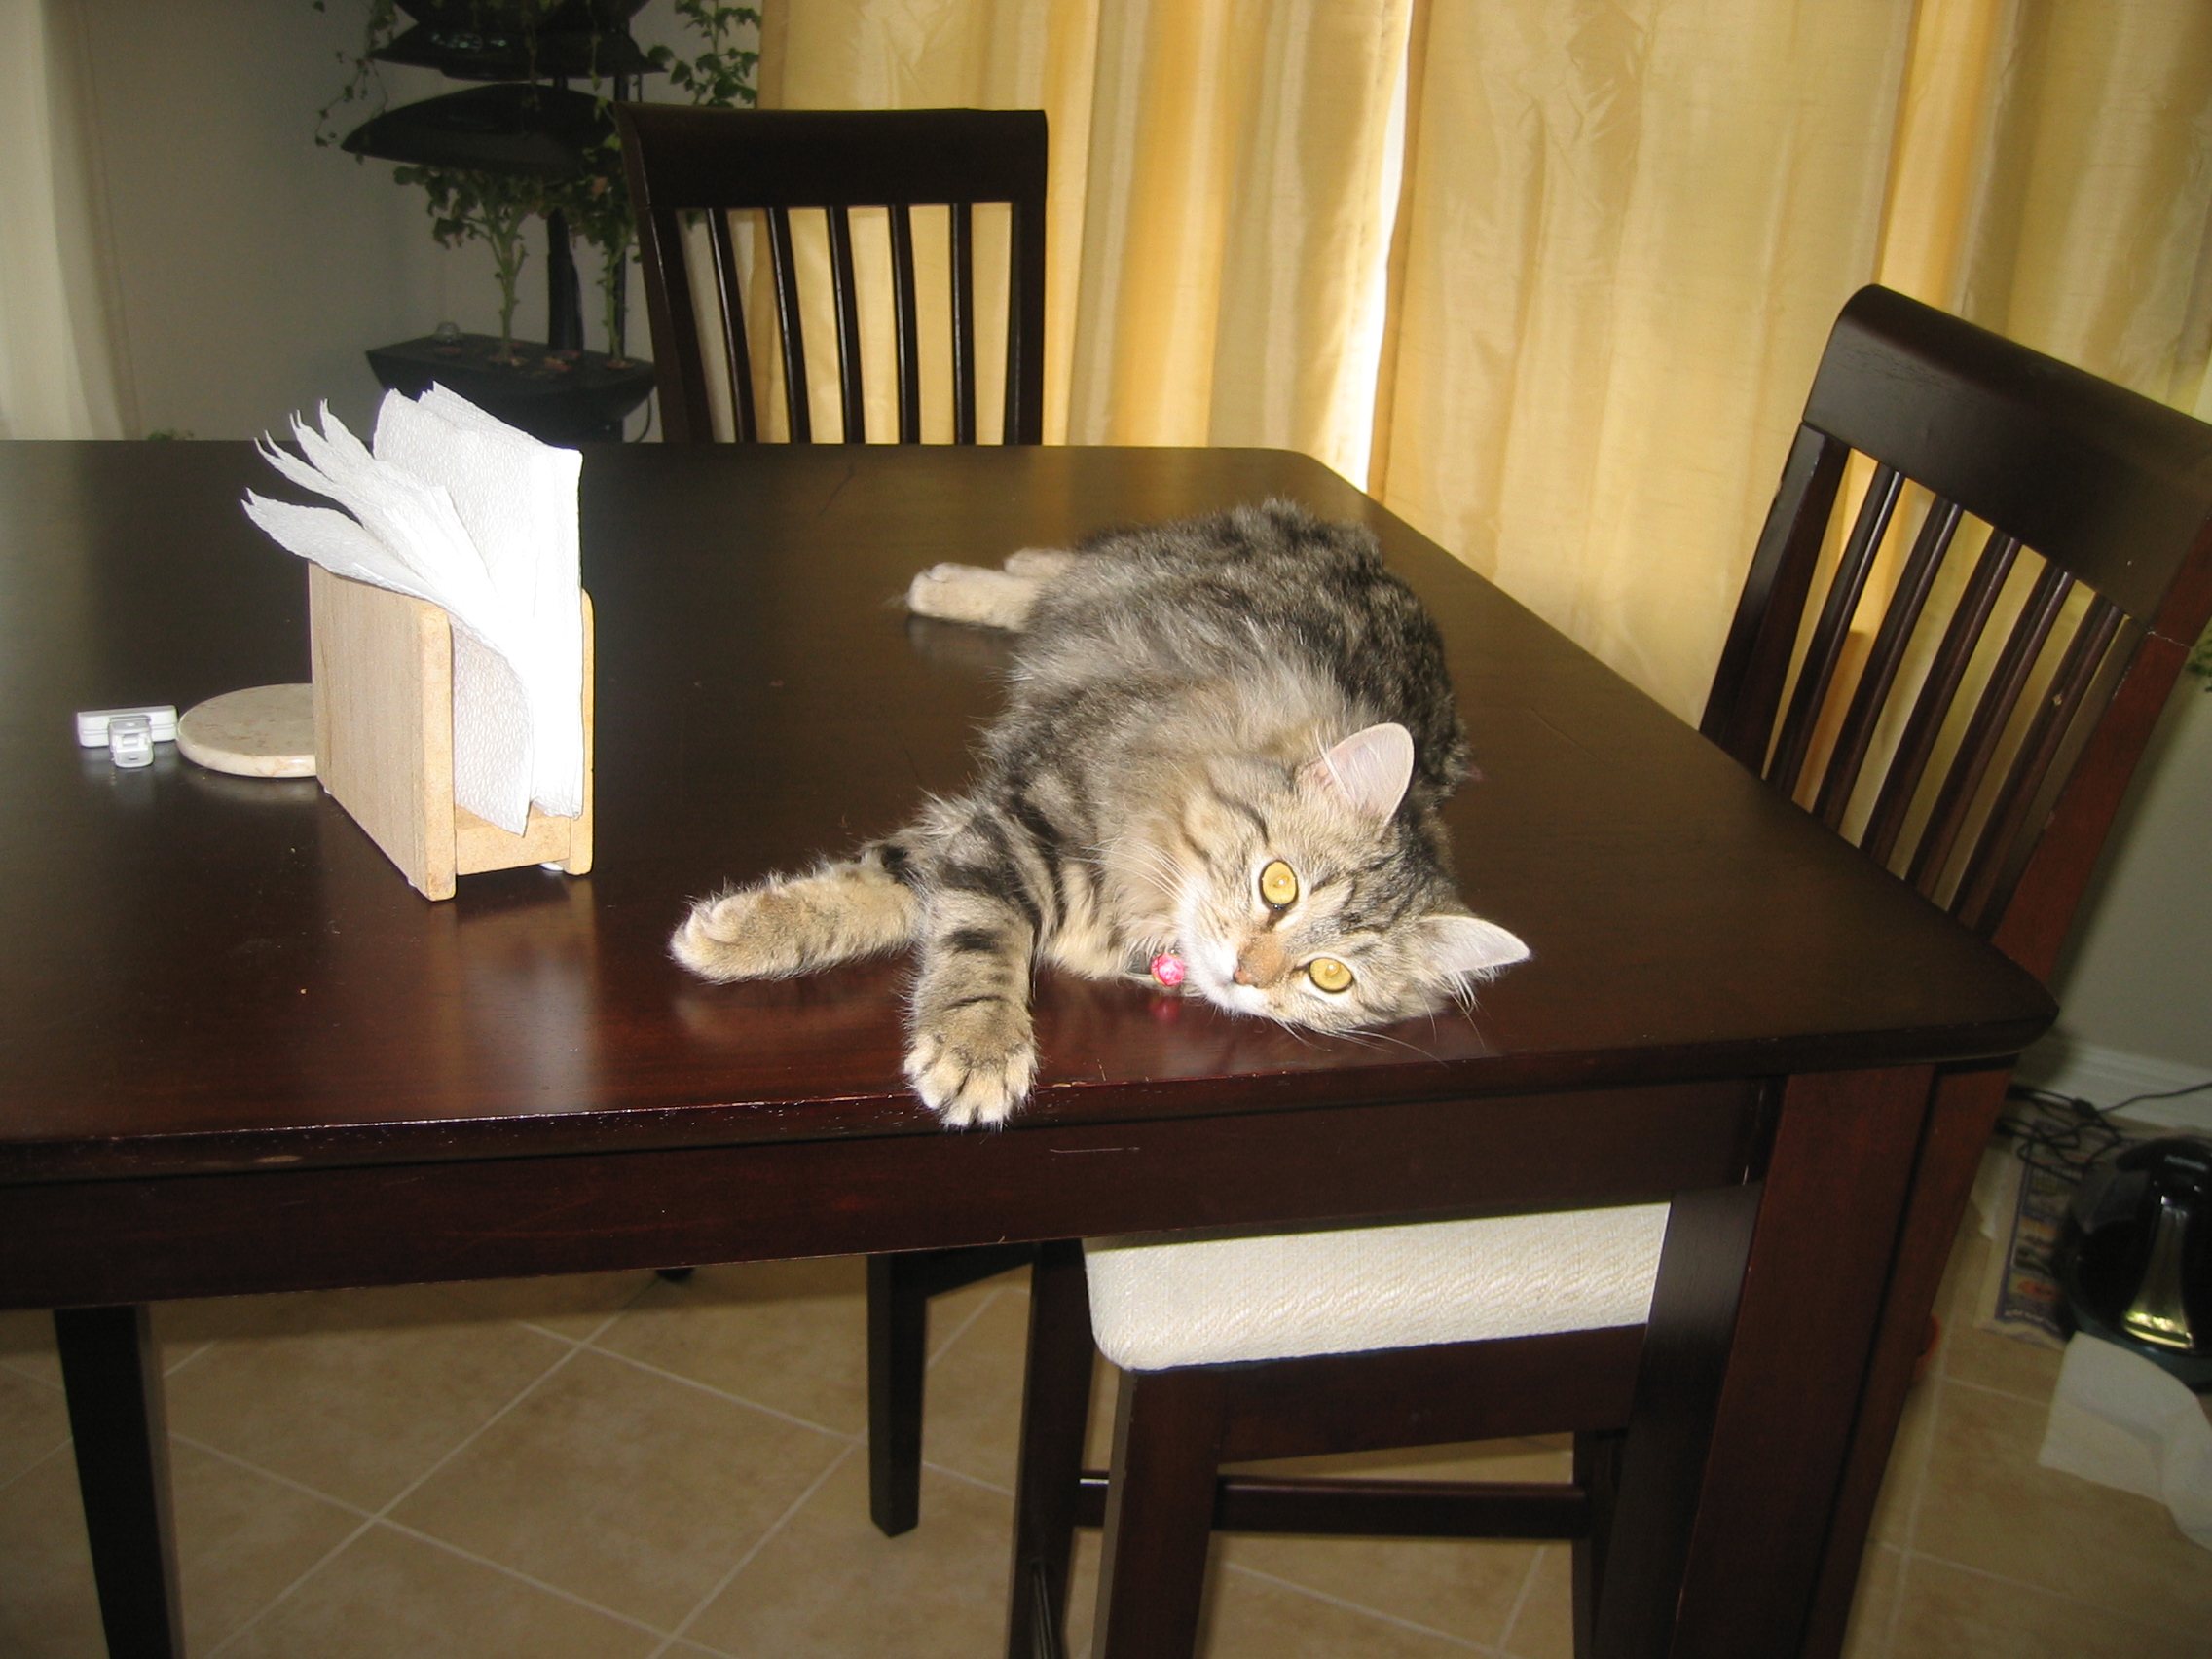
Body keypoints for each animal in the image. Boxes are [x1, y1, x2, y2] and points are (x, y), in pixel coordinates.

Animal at [668, 499, 1522, 1132]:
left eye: (1330, 977)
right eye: (1278, 885)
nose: (1248, 972)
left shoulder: (977, 835)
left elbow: (886, 896)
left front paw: (733, 933)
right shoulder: (1019, 823)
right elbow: (970, 940)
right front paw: (979, 1045)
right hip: (1139, 567)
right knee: (1074, 567)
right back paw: (963, 578)